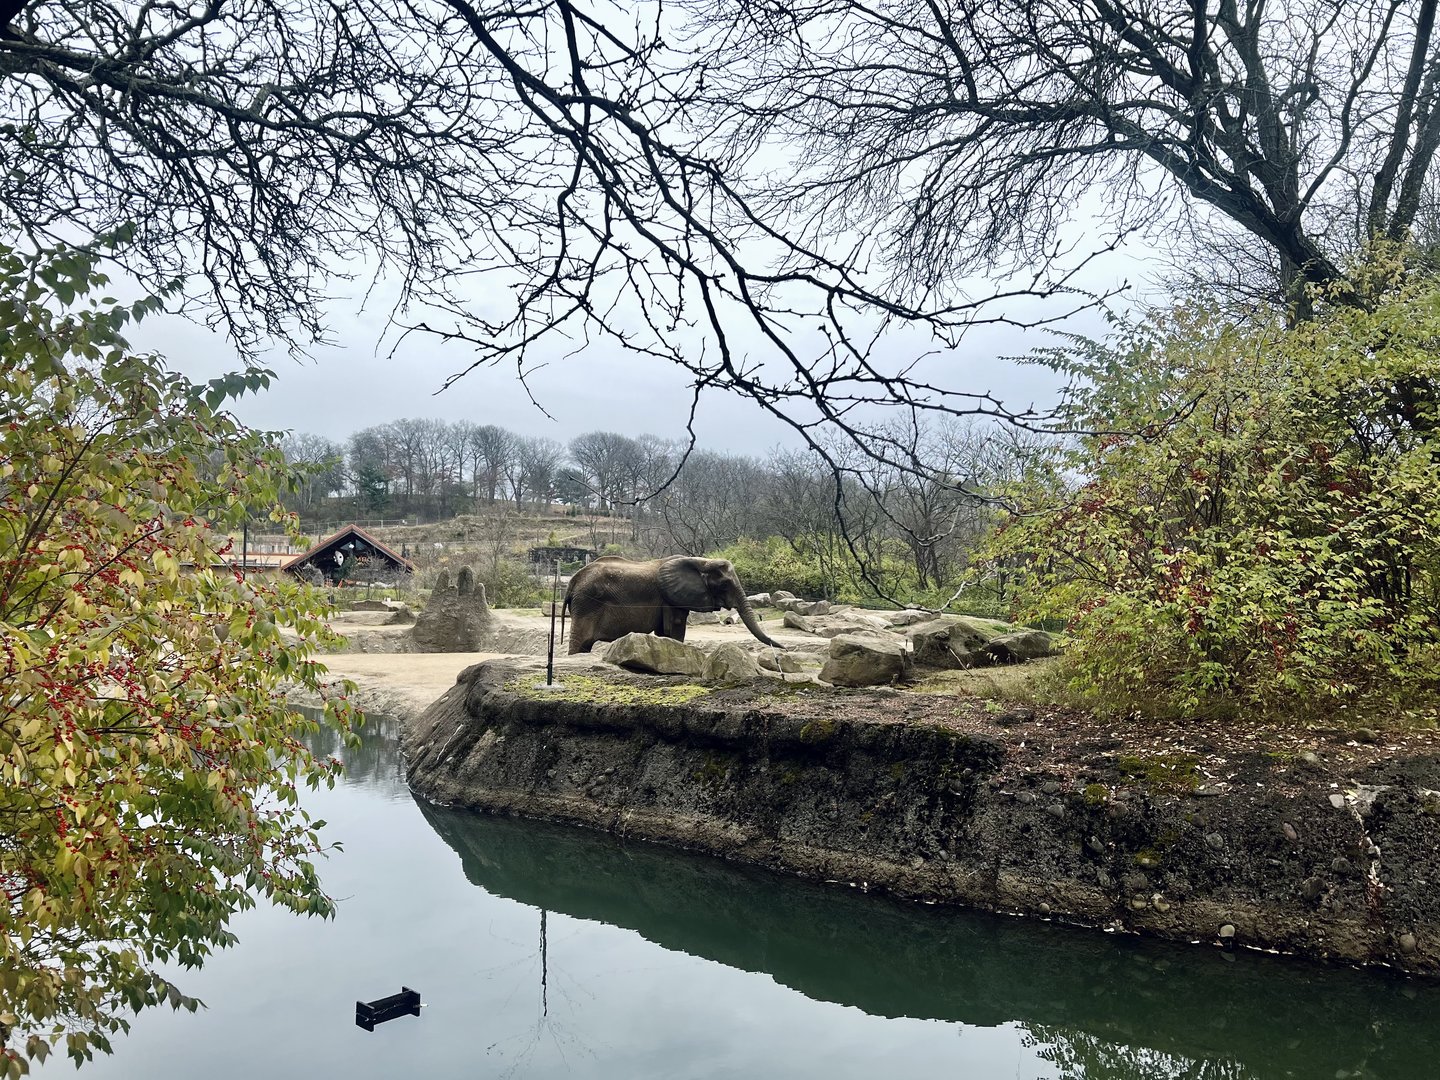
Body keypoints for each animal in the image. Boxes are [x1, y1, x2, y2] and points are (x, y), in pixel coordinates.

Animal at [562, 555, 783, 654]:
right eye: (725, 585)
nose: (783, 649)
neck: (701, 561)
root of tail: (573, 581)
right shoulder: (672, 599)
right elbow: (674, 629)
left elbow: (664, 632)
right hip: (587, 603)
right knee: (581, 641)